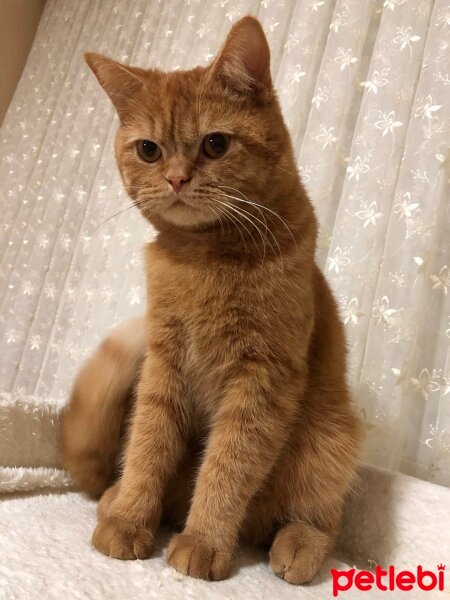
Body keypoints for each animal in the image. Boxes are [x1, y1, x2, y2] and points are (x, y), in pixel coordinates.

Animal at [60, 17, 362, 584]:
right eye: (149, 150)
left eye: (216, 144)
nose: (177, 178)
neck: (201, 259)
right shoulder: (162, 366)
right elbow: (148, 447)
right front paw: (130, 521)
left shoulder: (262, 379)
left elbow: (226, 467)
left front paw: (202, 542)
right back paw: (115, 500)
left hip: (332, 436)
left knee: (315, 517)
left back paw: (295, 546)